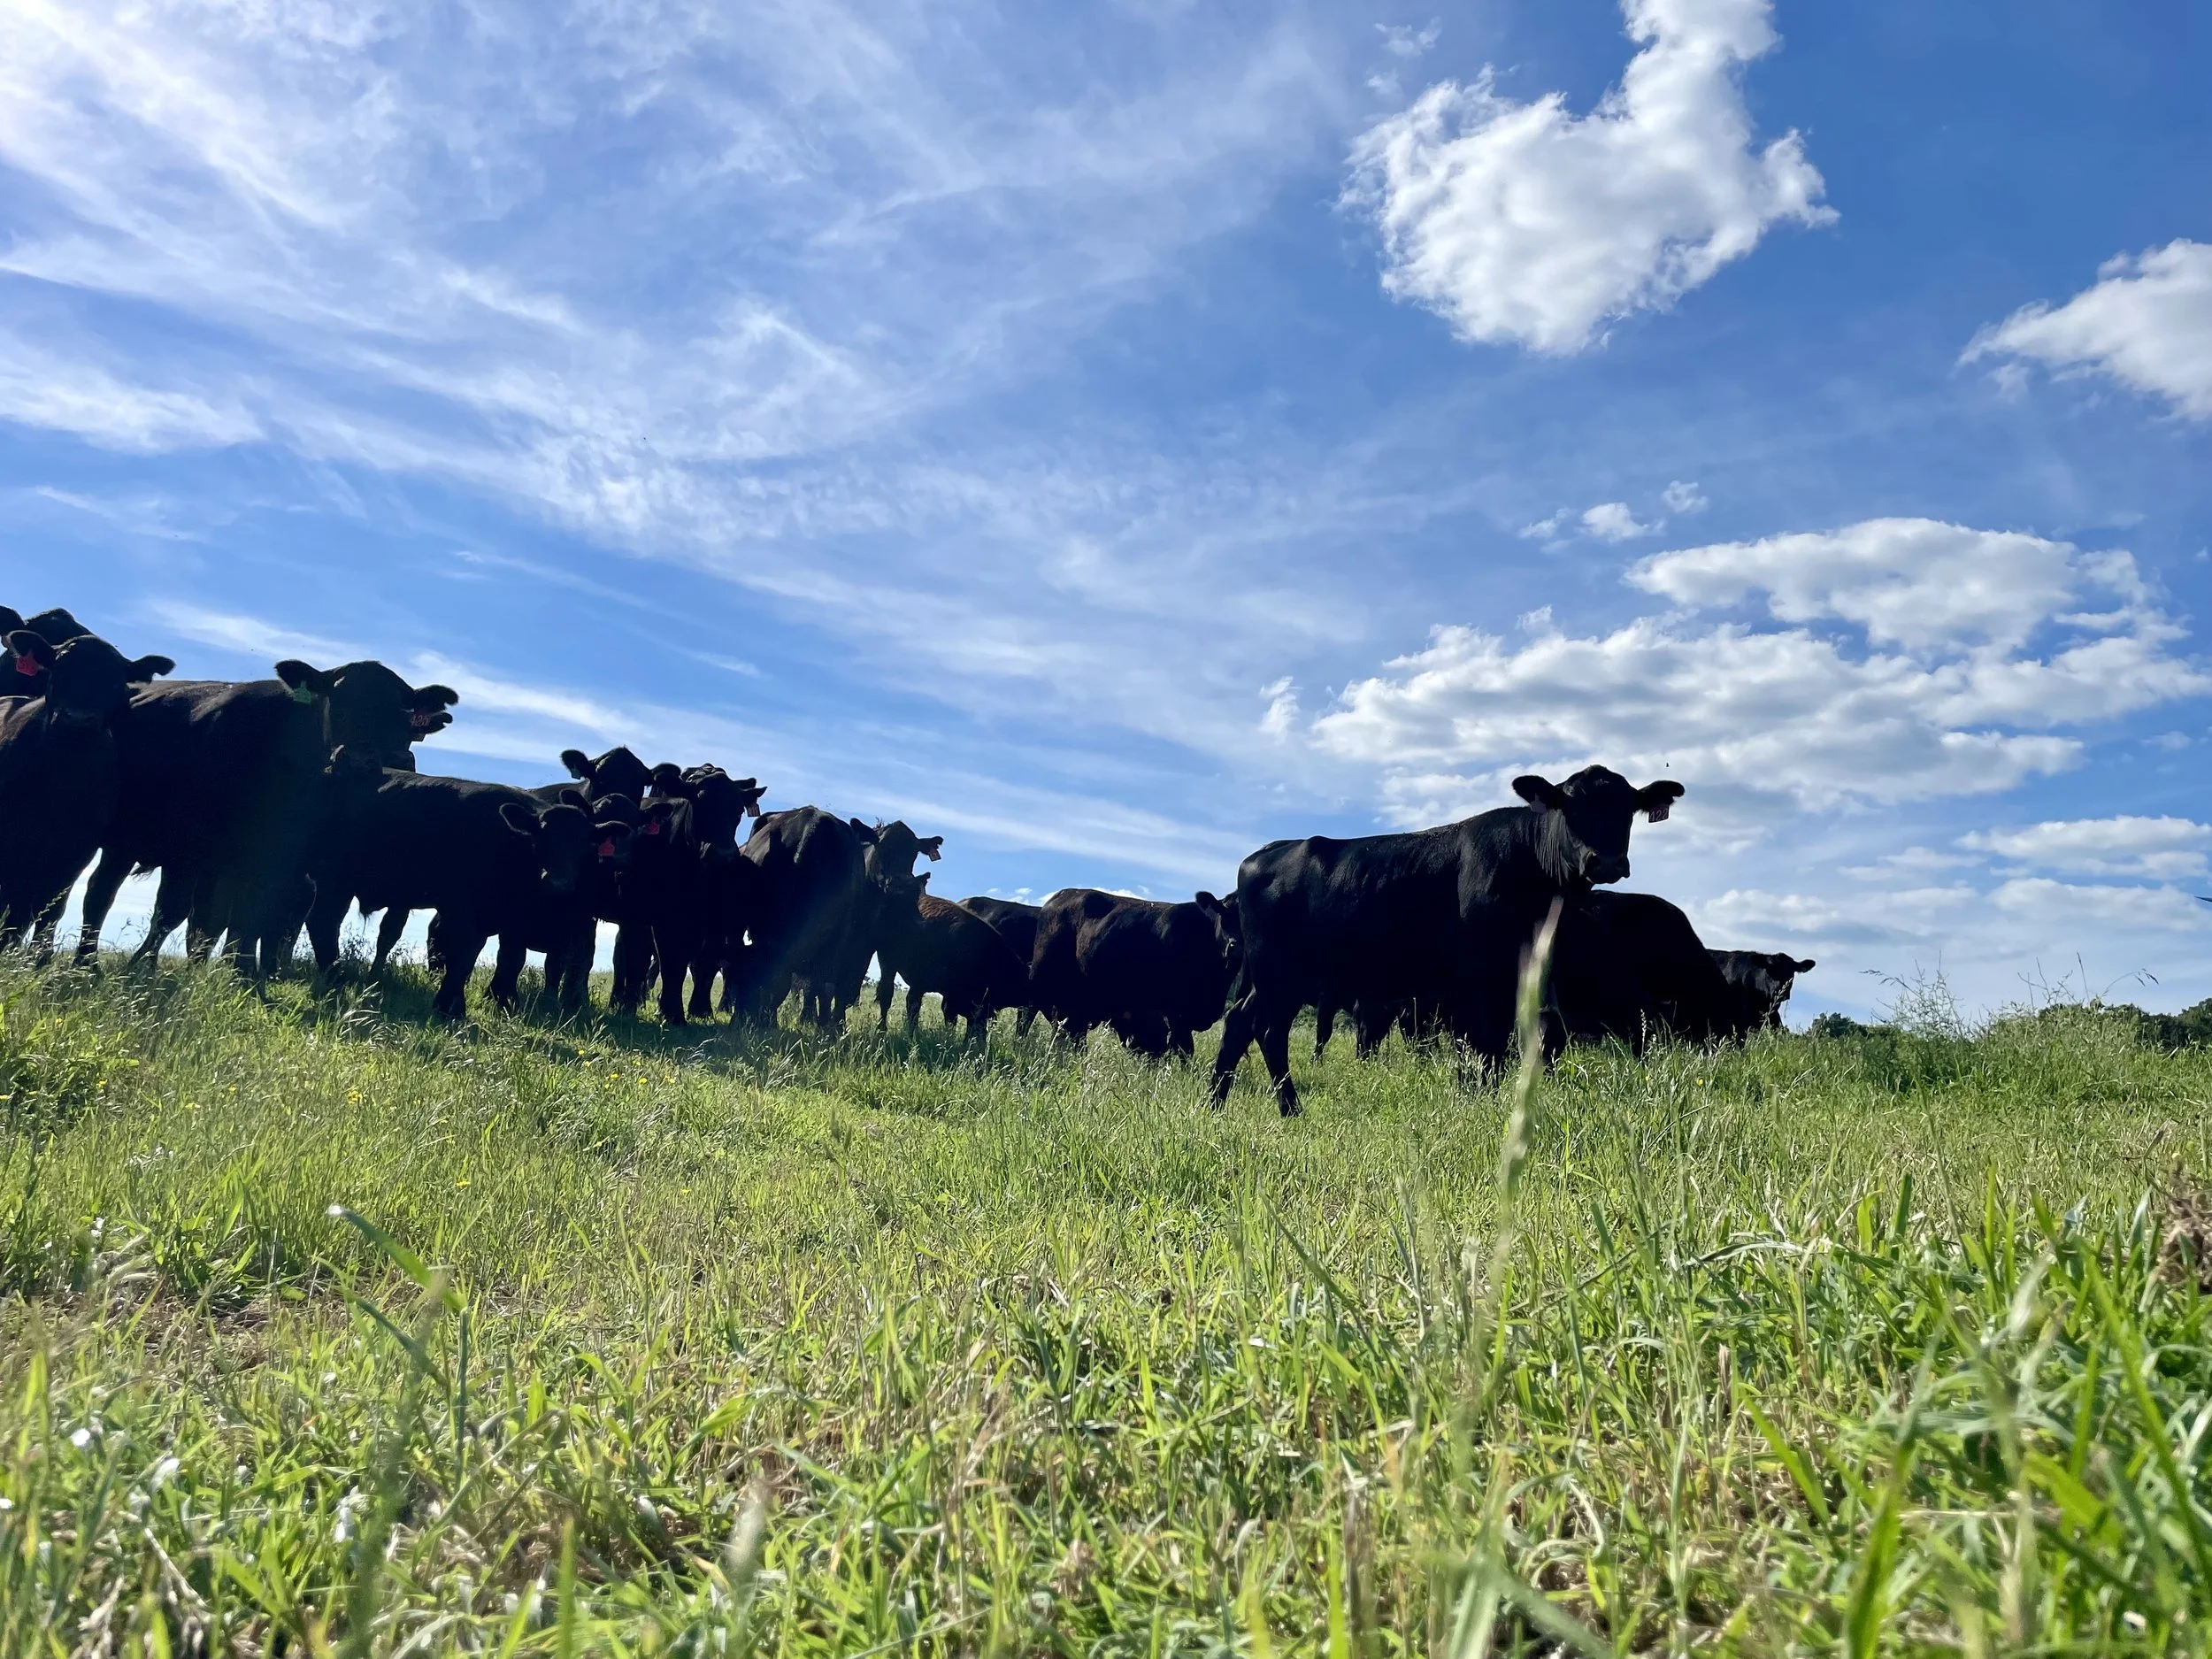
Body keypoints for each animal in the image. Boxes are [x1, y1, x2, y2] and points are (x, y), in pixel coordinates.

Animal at [0, 630, 174, 942]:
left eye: (116, 680)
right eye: (59, 669)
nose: (78, 719)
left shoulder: (77, 850)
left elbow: (51, 909)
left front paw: (39, 955)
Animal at [71, 661, 458, 974]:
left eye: (401, 716)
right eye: (337, 703)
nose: (361, 761)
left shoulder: (276, 859)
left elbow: (248, 916)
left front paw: (240, 974)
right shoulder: (193, 848)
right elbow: (180, 912)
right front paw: (145, 968)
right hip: (124, 840)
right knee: (101, 892)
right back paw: (86, 964)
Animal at [303, 767, 630, 1018]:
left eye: (585, 845)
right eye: (540, 838)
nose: (557, 882)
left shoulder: (496, 919)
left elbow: (485, 957)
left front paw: (460, 1005)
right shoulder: (460, 908)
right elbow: (461, 953)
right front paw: (448, 1007)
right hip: (332, 878)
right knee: (322, 922)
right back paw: (336, 977)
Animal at [1029, 889, 1241, 1058]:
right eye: (1225, 915)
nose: (1235, 946)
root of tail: (1060, 895)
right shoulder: (1174, 1011)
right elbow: (1183, 1048)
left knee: (1071, 1032)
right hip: (1044, 986)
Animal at [1211, 767, 1683, 1115]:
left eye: (1627, 810)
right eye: (1568, 807)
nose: (1605, 861)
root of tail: (1264, 854)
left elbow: (1505, 1044)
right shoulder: (1476, 976)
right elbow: (1480, 1045)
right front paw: (1476, 1103)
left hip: (1274, 978)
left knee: (1239, 1020)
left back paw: (1216, 1102)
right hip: (1281, 973)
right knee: (1268, 1029)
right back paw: (1288, 1108)